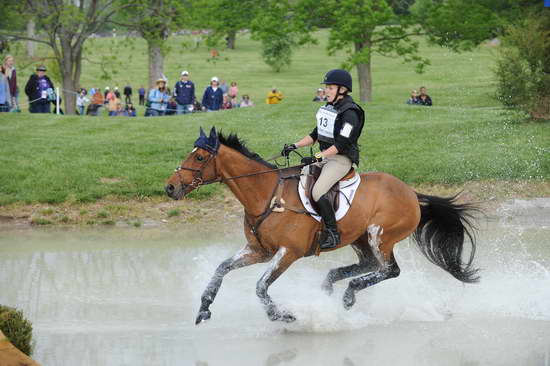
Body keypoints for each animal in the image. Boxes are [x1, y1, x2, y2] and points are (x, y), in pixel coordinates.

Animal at [164, 127, 478, 324]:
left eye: (199, 157)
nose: (169, 187)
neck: (266, 195)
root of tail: (412, 193)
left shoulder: (287, 253)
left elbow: (260, 287)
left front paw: (283, 315)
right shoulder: (258, 251)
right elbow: (221, 269)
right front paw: (204, 309)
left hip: (381, 236)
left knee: (390, 270)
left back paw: (348, 294)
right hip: (360, 238)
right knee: (368, 265)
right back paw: (332, 288)